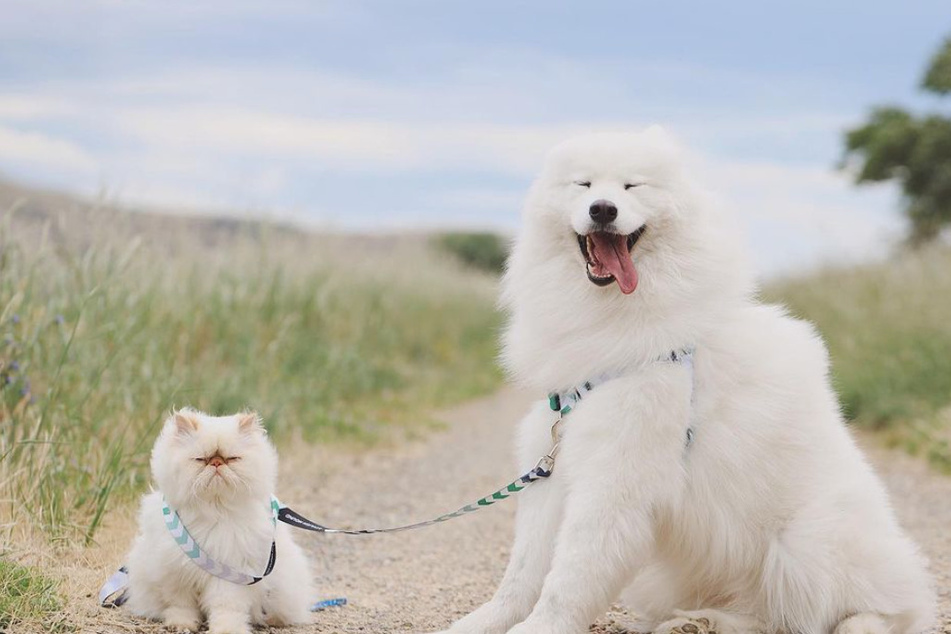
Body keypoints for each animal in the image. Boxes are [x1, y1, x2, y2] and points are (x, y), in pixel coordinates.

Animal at [122, 410, 314, 632]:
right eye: (201, 459)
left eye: (232, 459)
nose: (216, 463)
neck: (214, 510)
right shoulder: (175, 574)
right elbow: (180, 606)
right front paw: (181, 624)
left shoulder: (230, 576)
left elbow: (226, 609)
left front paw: (227, 629)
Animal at [436, 128, 932, 632]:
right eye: (584, 185)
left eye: (632, 187)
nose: (603, 209)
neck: (613, 320)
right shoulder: (553, 466)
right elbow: (521, 573)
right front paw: (480, 623)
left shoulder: (615, 477)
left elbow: (570, 575)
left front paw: (540, 627)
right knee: (760, 615)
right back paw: (694, 621)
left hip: (806, 545)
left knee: (867, 612)